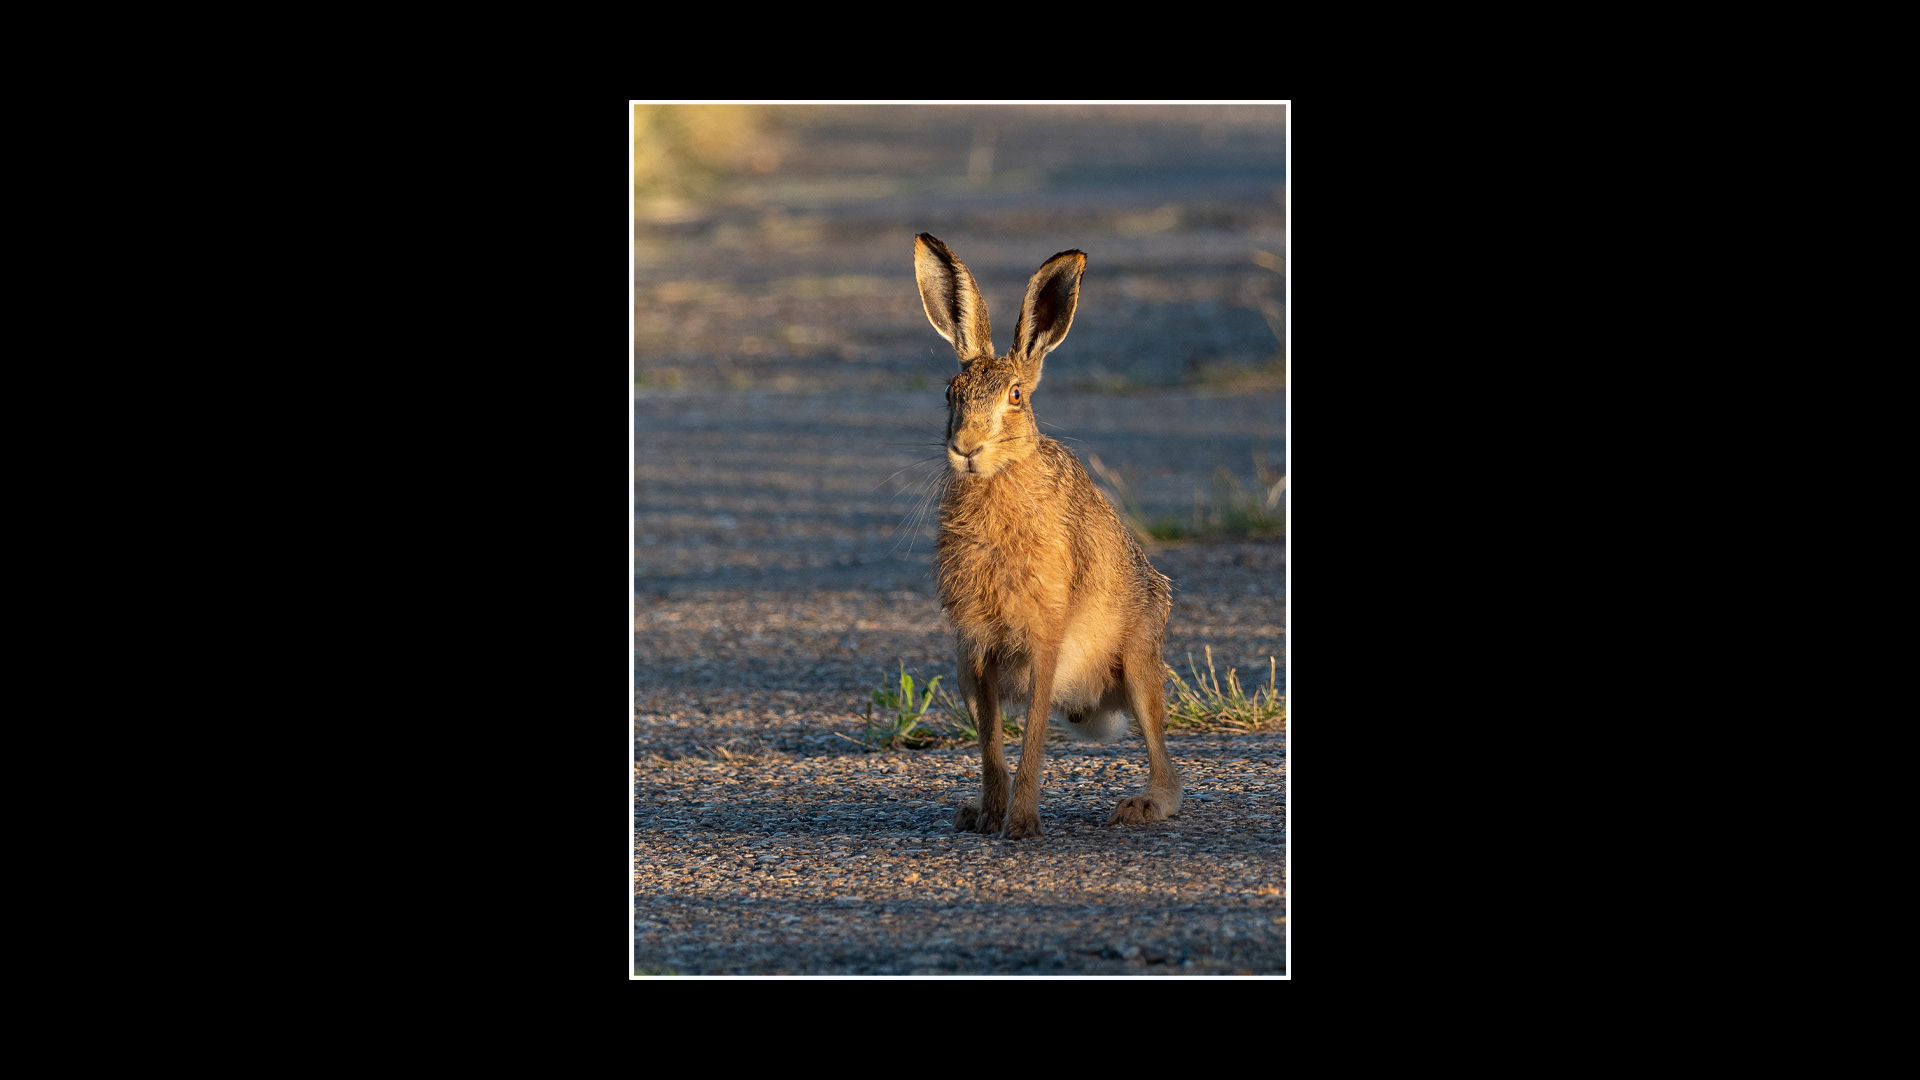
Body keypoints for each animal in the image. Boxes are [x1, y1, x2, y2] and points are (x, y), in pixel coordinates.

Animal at [913, 232, 1181, 840]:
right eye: (949, 392)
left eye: (1015, 395)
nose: (965, 448)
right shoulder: (975, 652)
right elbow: (990, 742)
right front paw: (988, 815)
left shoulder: (1046, 637)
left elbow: (1032, 736)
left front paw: (1021, 825)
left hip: (1137, 660)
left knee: (1164, 759)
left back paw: (1142, 805)